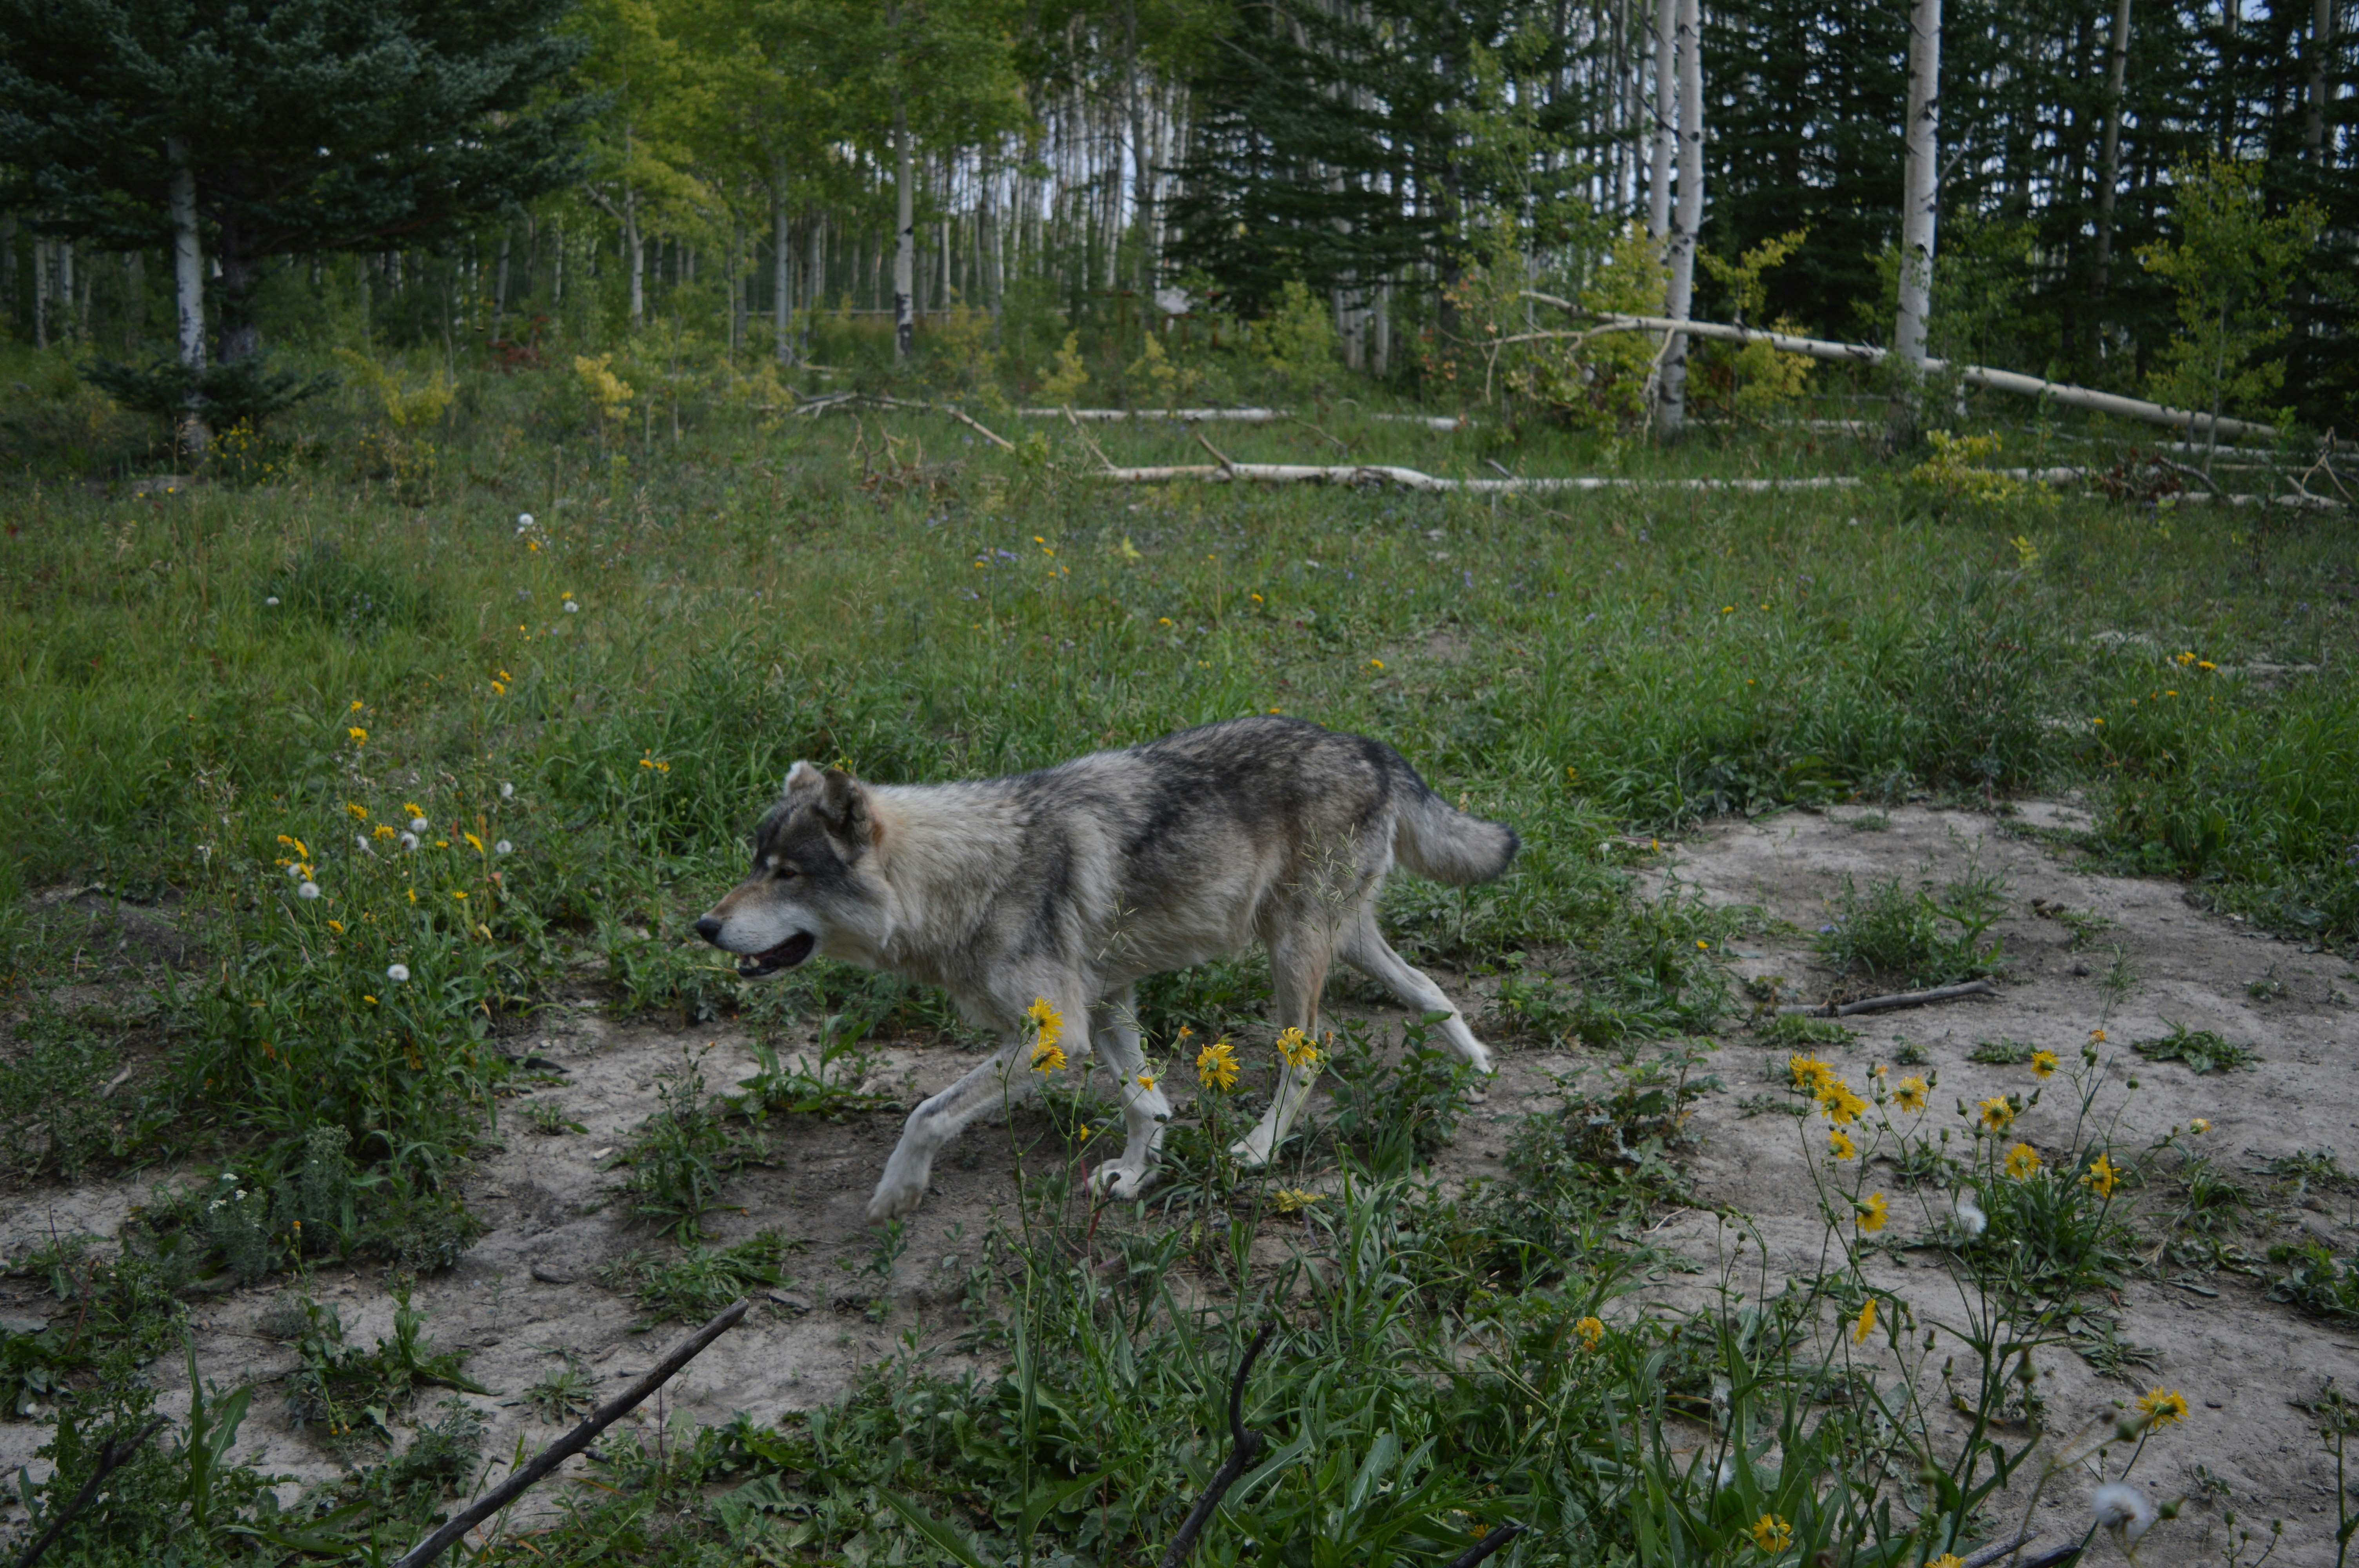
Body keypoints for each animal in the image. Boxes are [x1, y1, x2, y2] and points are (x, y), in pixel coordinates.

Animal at [694, 716, 1519, 1222]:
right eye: (755, 865)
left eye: (786, 874)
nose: (704, 926)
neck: (963, 878)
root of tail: (1367, 744)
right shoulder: (1107, 1004)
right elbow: (1146, 1104)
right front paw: (1134, 1173)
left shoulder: (1056, 1036)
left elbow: (925, 1114)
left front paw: (899, 1194)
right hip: (1338, 942)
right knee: (1429, 988)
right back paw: (1477, 1067)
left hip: (1294, 954)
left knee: (1311, 1055)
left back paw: (1258, 1150)